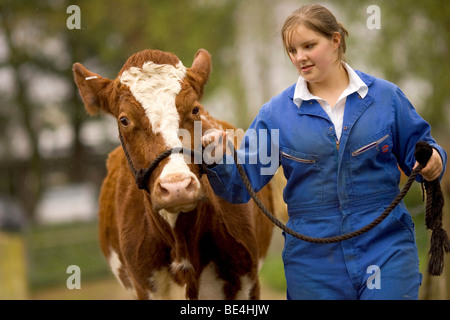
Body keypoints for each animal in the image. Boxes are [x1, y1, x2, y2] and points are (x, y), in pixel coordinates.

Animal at [73, 48, 276, 298]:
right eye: (124, 120)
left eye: (195, 109)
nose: (177, 186)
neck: (181, 244)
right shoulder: (144, 288)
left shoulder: (248, 282)